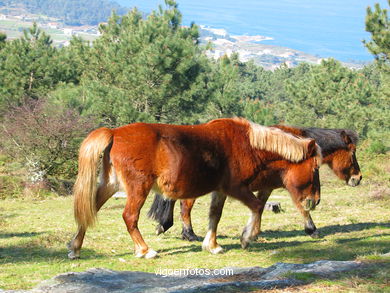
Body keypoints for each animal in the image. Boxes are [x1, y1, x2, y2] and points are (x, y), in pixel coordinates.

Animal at [68, 117, 322, 258]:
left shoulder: (220, 190)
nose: (316, 199)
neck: (247, 144)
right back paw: (145, 250)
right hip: (138, 188)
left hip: (111, 185)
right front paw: (247, 237)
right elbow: (258, 206)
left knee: (90, 210)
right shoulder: (236, 187)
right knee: (130, 216)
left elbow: (215, 215)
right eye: (315, 167)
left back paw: (75, 247)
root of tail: (114, 133)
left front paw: (212, 245)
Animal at [148, 124, 362, 241]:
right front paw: (312, 230)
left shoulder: (267, 187)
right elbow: (301, 207)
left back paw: (168, 226)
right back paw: (188, 233)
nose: (358, 178)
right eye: (352, 152)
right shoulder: (291, 186)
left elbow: (259, 206)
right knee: (185, 207)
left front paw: (254, 232)